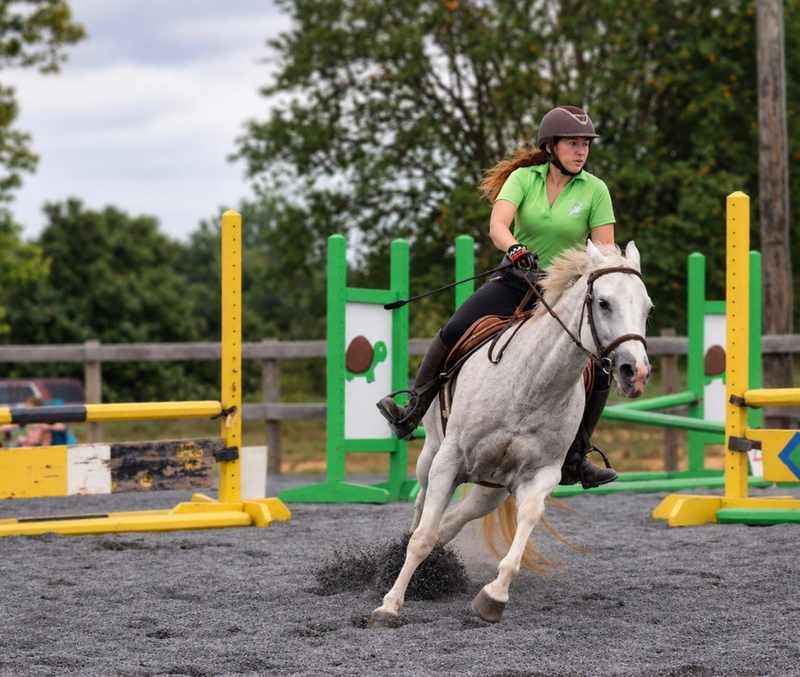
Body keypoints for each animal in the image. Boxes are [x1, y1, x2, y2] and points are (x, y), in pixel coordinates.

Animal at [370, 239, 652, 625]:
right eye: (604, 303)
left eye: (647, 308)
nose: (635, 372)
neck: (531, 387)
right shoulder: (450, 461)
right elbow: (422, 538)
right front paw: (390, 604)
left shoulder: (540, 475)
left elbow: (526, 521)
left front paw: (493, 596)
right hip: (432, 454)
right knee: (421, 505)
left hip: (491, 488)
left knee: (452, 521)